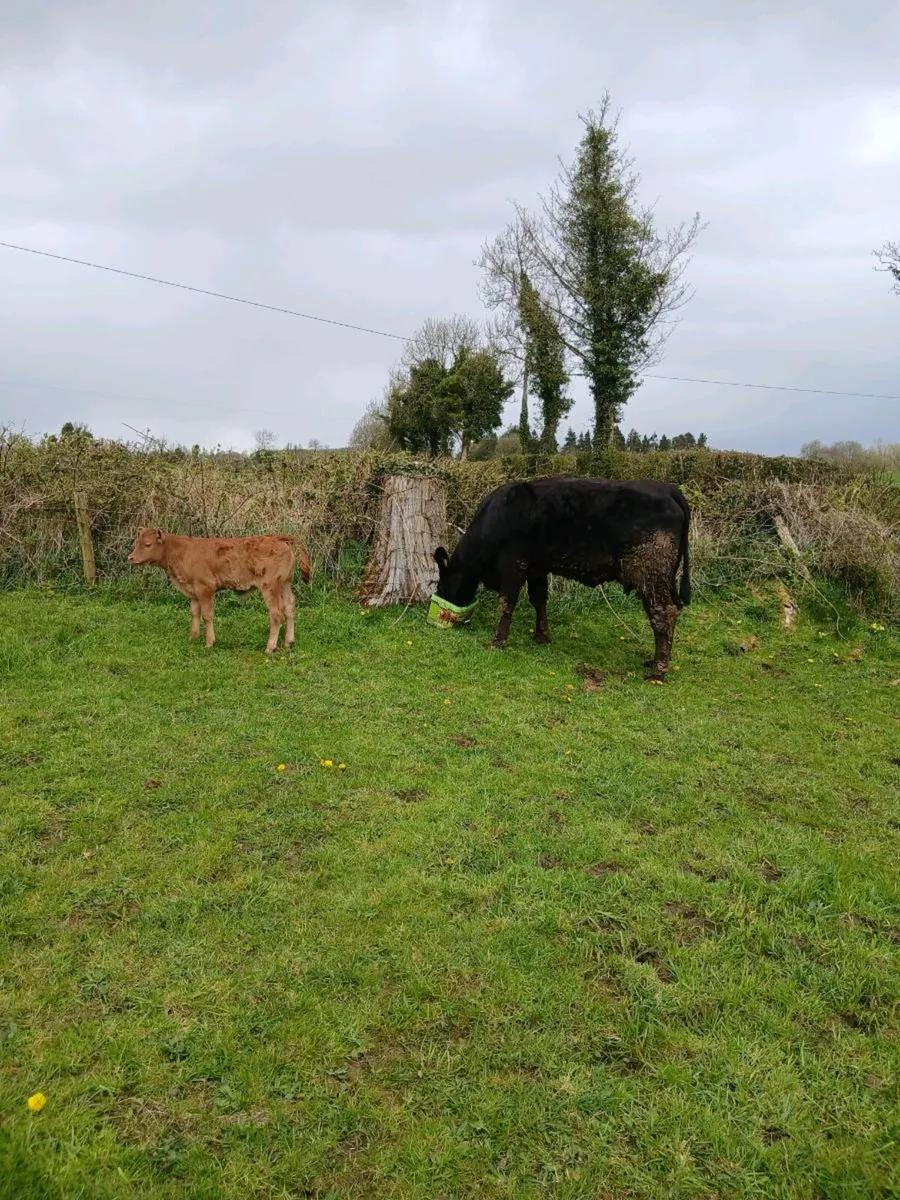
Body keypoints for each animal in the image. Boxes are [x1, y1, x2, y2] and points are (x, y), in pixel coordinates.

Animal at [127, 529, 311, 652]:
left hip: (269, 587)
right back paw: (288, 643)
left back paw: (270, 647)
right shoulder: (193, 591)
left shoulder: (205, 588)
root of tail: (276, 537)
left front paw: (209, 642)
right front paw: (193, 637)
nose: (131, 558)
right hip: (285, 584)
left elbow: (207, 615)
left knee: (276, 613)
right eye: (136, 543)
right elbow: (194, 613)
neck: (181, 551)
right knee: (289, 608)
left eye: (148, 544)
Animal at [433, 477, 691, 680]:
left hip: (650, 573)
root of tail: (668, 489)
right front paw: (542, 636)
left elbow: (507, 603)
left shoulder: (513, 564)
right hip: (665, 577)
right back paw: (655, 660)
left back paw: (658, 670)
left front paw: (498, 641)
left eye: (442, 583)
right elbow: (539, 600)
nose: (442, 601)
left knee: (662, 613)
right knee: (673, 609)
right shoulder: (537, 568)